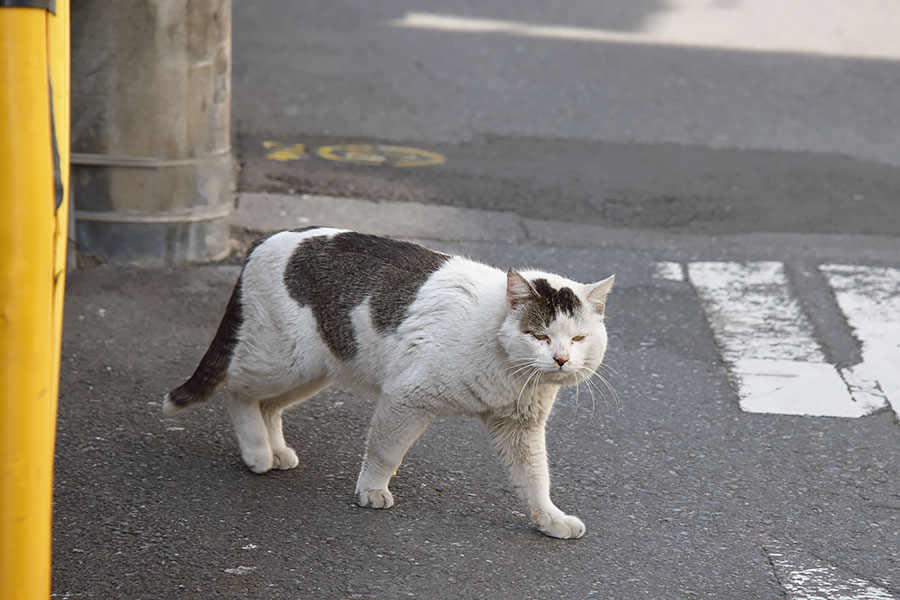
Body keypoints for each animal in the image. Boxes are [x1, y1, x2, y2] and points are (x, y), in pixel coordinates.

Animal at [163, 226, 612, 540]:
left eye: (577, 338)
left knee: (268, 405)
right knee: (238, 389)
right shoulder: (406, 399)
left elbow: (535, 478)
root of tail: (266, 239)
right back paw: (257, 452)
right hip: (285, 360)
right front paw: (372, 491)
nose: (561, 359)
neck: (507, 371)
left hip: (313, 370)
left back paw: (277, 451)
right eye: (539, 336)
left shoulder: (519, 426)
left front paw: (549, 519)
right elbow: (385, 451)